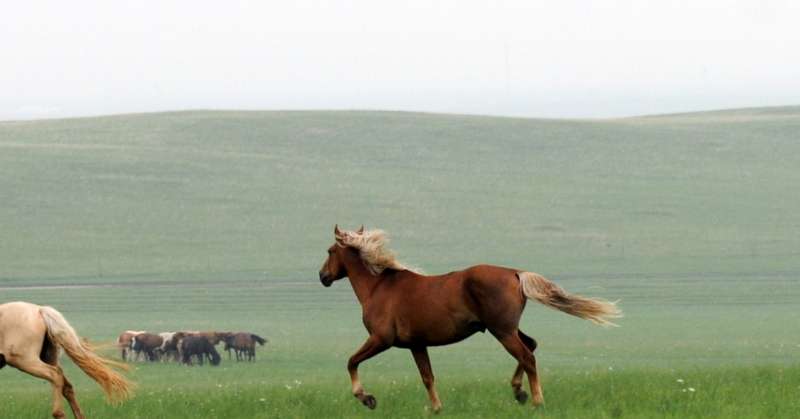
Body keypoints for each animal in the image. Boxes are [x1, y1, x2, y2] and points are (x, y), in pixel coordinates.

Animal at [0, 301, 133, 419]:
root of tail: (40, 310)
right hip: (49, 358)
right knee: (66, 386)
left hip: (24, 361)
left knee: (55, 375)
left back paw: (58, 413)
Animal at [318, 226, 621, 412]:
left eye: (330, 251)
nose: (323, 276)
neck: (379, 287)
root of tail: (516, 273)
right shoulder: (417, 344)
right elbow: (427, 377)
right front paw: (436, 408)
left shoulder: (381, 339)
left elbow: (352, 362)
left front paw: (367, 398)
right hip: (507, 328)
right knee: (531, 346)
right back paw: (519, 392)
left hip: (502, 331)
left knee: (527, 356)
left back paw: (536, 400)